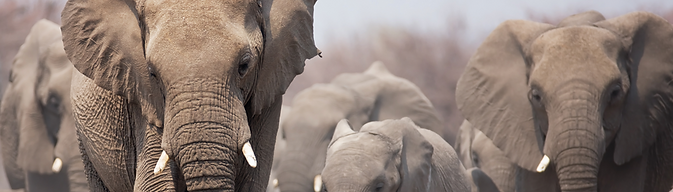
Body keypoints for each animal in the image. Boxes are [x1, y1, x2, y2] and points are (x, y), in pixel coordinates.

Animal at [58, 0, 320, 190]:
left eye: (244, 65)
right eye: (152, 73)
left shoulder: (269, 86)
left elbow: (251, 182)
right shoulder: (144, 97)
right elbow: (154, 183)